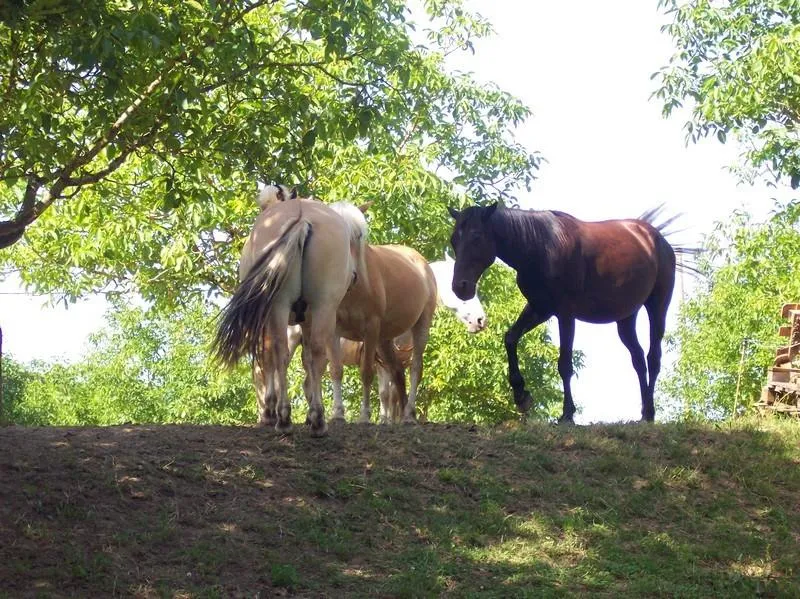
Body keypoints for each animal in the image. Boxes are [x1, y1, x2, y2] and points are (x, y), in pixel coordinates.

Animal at [446, 204, 692, 424]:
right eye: (454, 240)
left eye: (476, 237)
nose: (460, 287)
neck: (541, 246)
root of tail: (656, 238)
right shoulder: (540, 308)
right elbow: (510, 338)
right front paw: (521, 395)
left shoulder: (565, 314)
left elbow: (564, 364)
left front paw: (567, 415)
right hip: (625, 318)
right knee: (639, 359)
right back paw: (643, 415)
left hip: (657, 307)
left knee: (653, 358)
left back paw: (649, 412)